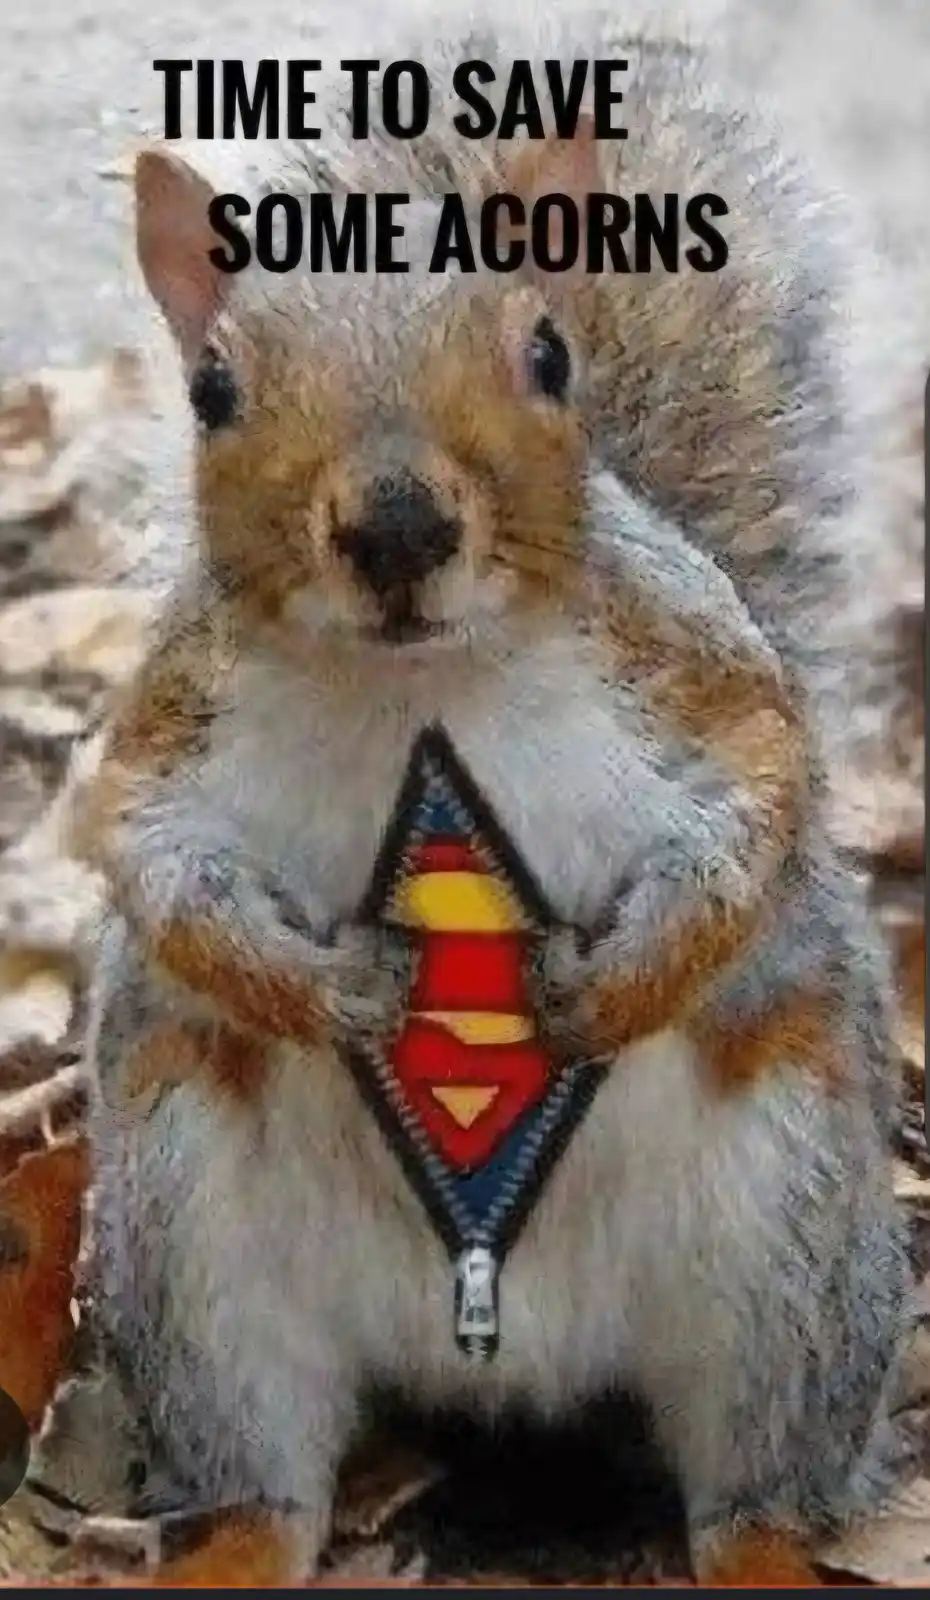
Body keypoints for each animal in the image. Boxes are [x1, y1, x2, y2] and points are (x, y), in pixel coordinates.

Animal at [64, 19, 911, 1589]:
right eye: (211, 389)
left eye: (547, 351)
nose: (398, 527)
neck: (422, 687)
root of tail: (497, 1347)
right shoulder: (163, 735)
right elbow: (153, 865)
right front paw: (327, 987)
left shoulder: (695, 670)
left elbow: (764, 790)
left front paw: (612, 984)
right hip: (192, 1243)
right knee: (265, 1475)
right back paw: (228, 1548)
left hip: (794, 1240)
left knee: (754, 1485)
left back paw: (763, 1544)